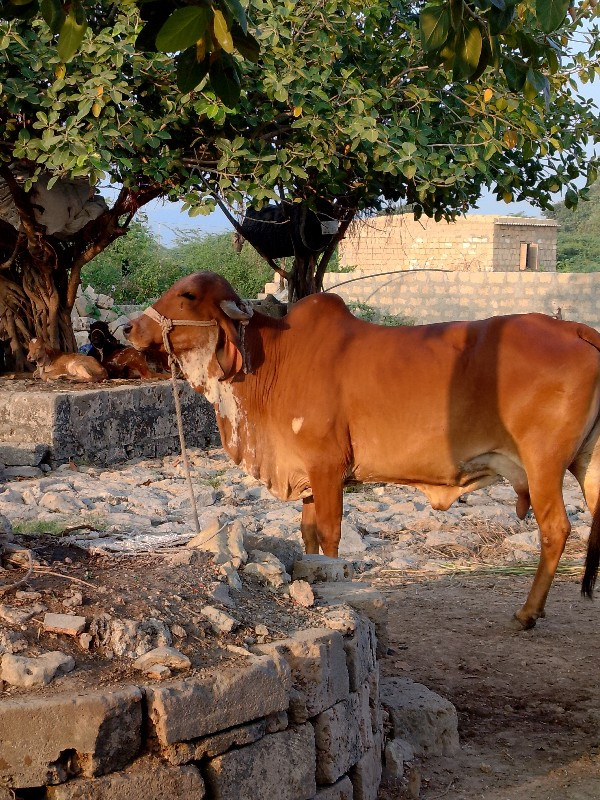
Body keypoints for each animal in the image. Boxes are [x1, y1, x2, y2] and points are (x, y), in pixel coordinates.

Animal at [125, 276, 600, 632]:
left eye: (188, 295)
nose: (129, 328)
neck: (271, 360)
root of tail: (579, 329)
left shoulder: (327, 468)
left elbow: (330, 533)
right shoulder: (308, 477)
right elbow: (308, 534)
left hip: (543, 464)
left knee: (556, 529)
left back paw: (527, 613)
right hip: (587, 463)